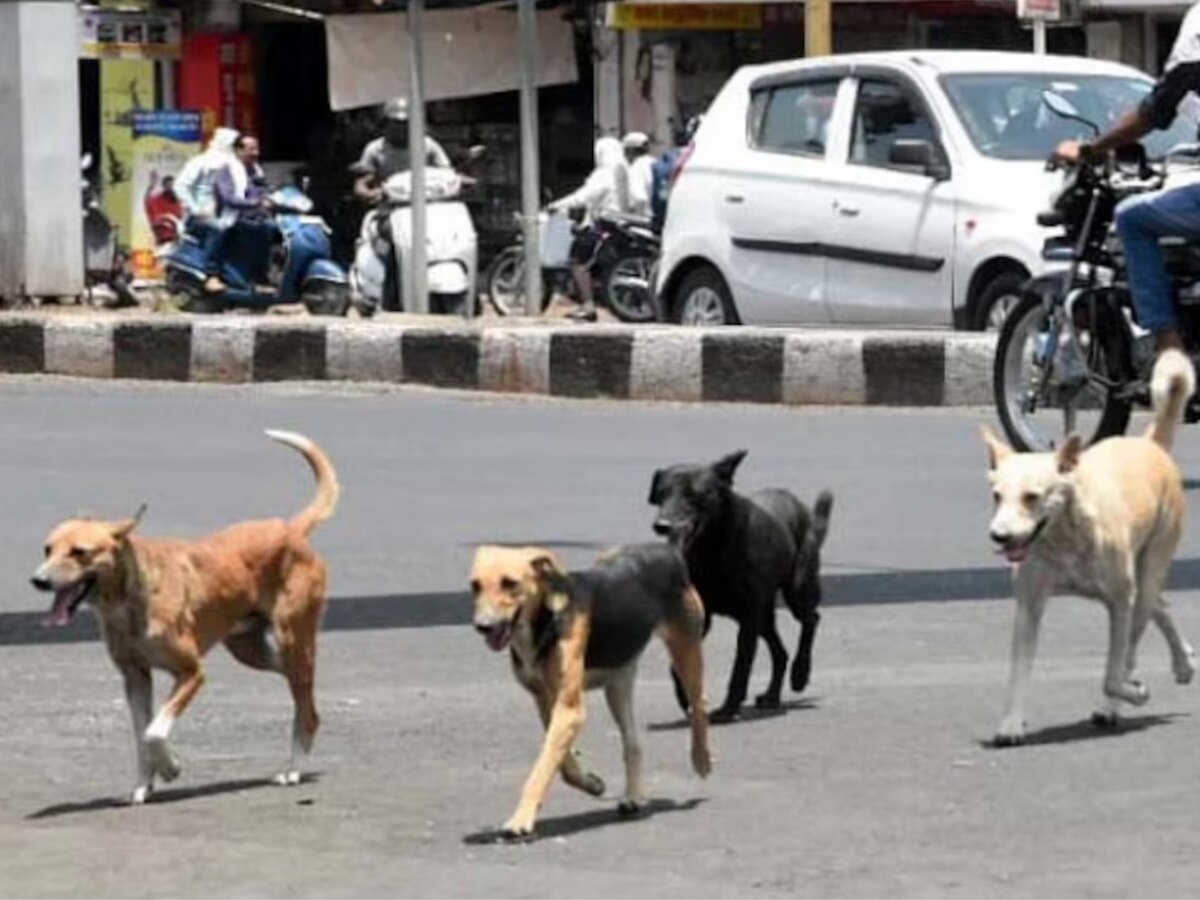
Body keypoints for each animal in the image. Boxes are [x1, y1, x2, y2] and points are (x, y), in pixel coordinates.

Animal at [32, 434, 340, 806]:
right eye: (47, 549)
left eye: (80, 552)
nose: (38, 580)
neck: (129, 599)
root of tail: (291, 528)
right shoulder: (135, 677)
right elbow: (140, 735)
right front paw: (143, 785)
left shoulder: (191, 673)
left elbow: (153, 732)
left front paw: (171, 768)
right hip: (250, 650)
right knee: (299, 687)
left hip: (293, 637)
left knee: (307, 706)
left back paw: (293, 769)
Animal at [468, 547, 710, 844]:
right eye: (475, 585)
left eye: (510, 583)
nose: (482, 626)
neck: (545, 619)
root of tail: (667, 550)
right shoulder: (547, 702)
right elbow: (562, 765)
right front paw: (591, 784)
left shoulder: (569, 710)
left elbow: (541, 769)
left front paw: (521, 819)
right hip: (617, 684)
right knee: (633, 743)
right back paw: (633, 797)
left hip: (685, 649)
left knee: (699, 705)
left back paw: (701, 759)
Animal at [648, 451, 835, 724]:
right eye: (661, 494)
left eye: (694, 494)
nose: (661, 525)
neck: (711, 549)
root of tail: (799, 505)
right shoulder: (703, 617)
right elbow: (679, 662)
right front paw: (685, 696)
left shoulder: (748, 619)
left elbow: (741, 666)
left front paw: (728, 708)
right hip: (764, 616)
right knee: (780, 653)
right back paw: (771, 695)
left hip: (797, 589)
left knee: (811, 619)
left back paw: (800, 673)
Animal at [988, 348, 1195, 744]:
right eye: (996, 496)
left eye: (1032, 497)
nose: (999, 536)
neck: (1064, 540)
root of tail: (1150, 444)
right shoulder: (1028, 606)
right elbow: (1017, 671)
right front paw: (1010, 722)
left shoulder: (1120, 602)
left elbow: (1114, 672)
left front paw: (1130, 693)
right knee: (1160, 606)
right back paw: (1184, 661)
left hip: (1148, 570)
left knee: (1136, 634)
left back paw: (1117, 702)